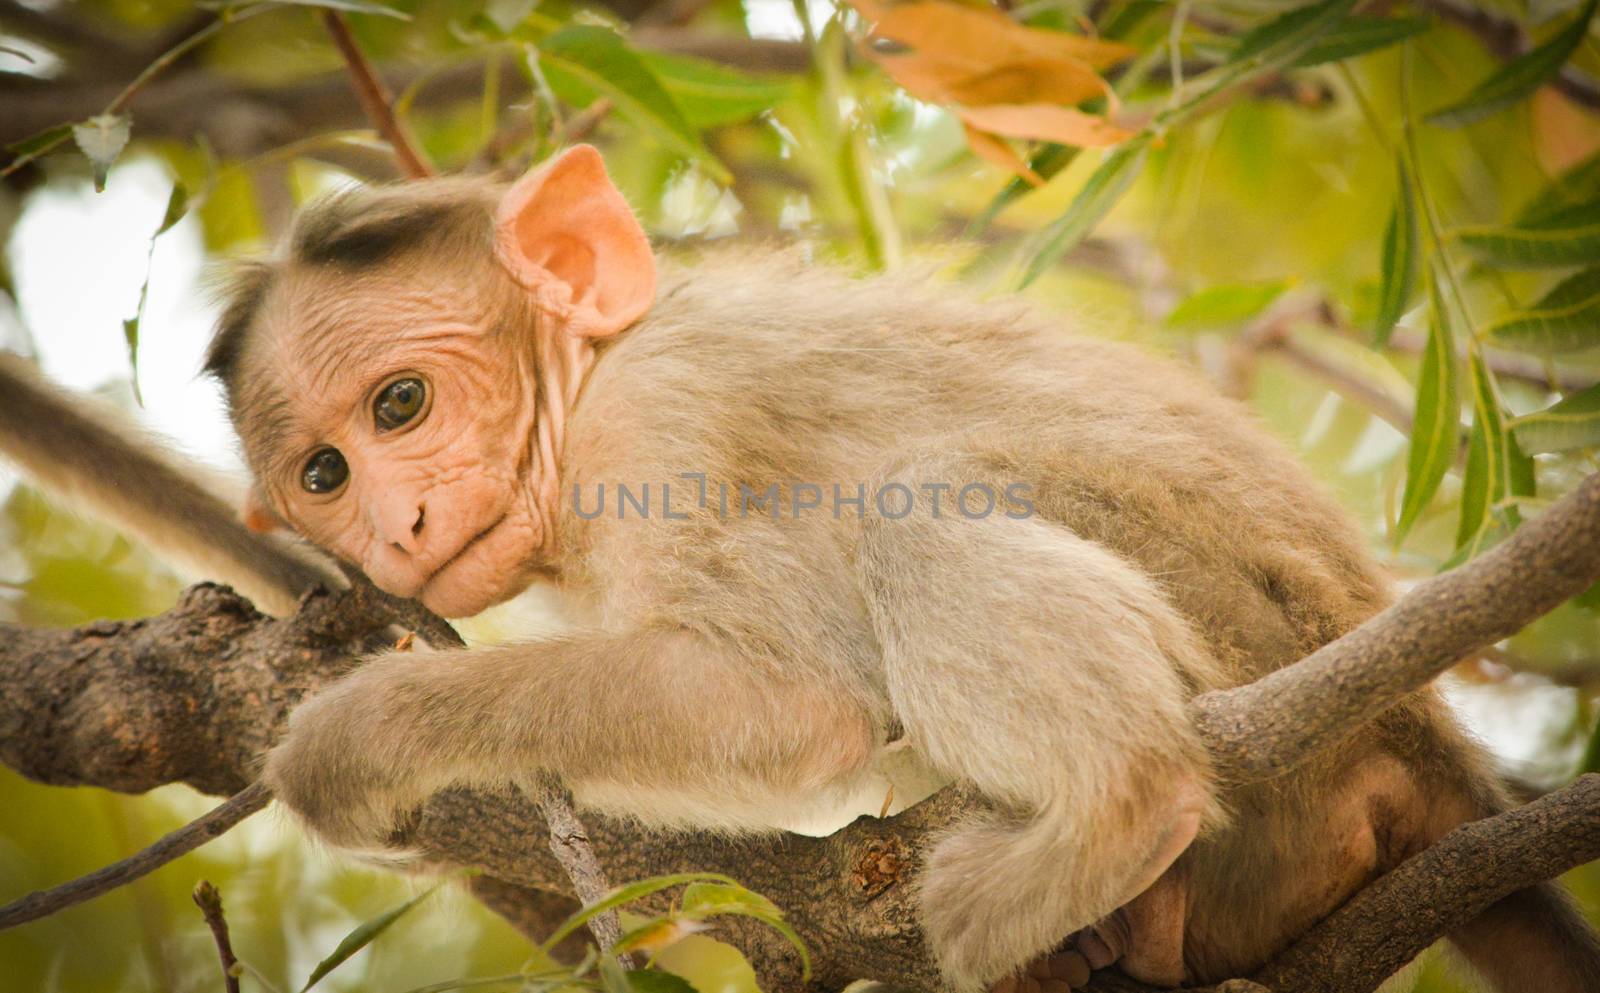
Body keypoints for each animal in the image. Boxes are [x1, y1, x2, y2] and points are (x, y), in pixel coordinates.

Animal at [184, 148, 1587, 991]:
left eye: (402, 403)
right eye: (322, 474)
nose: (397, 525)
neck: (587, 383)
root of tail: (1430, 750)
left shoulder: (663, 420)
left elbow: (787, 701)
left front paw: (366, 734)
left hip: (1254, 651)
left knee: (919, 515)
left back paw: (1118, 814)